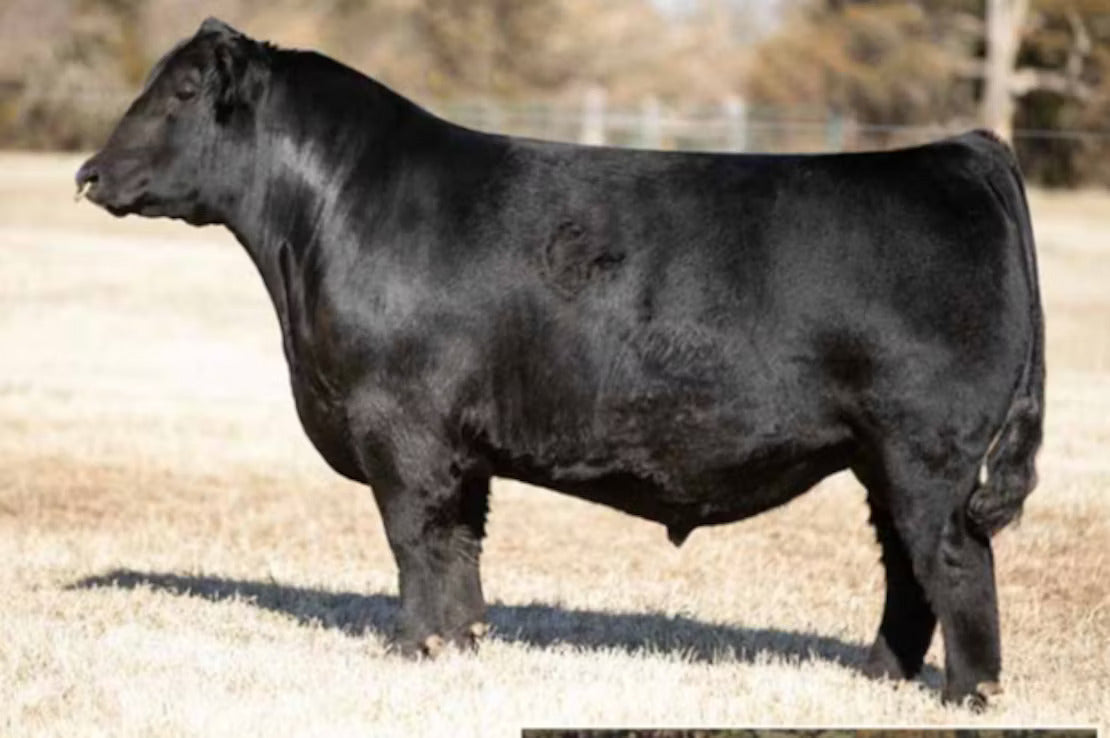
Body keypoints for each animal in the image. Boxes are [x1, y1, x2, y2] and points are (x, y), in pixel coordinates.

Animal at [76, 18, 1044, 708]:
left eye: (183, 91)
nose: (87, 172)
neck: (312, 235)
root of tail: (958, 150)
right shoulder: (456, 445)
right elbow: (459, 543)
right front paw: (461, 644)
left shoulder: (400, 427)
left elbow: (414, 537)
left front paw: (413, 648)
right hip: (883, 458)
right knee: (906, 570)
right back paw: (879, 678)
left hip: (927, 453)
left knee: (955, 563)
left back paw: (968, 696)